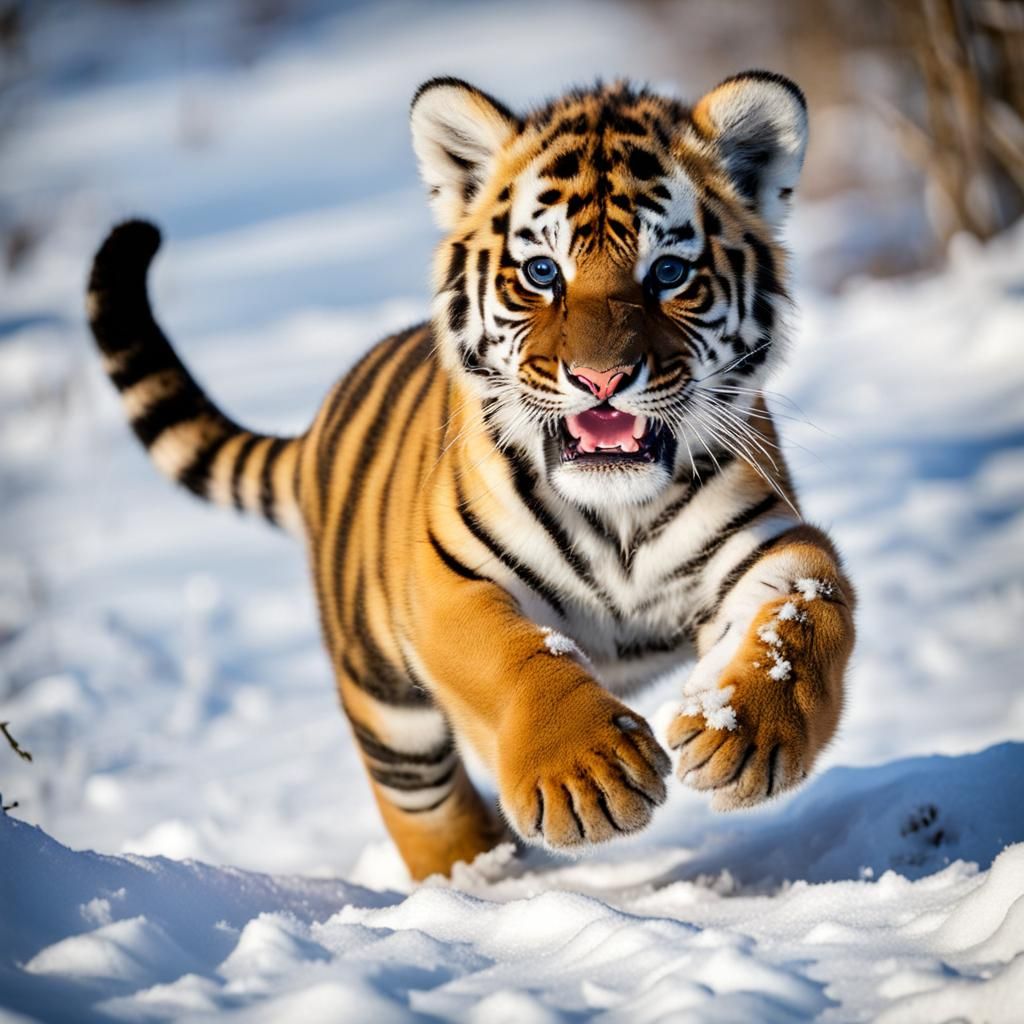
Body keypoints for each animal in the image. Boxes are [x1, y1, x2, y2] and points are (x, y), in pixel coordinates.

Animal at [86, 70, 855, 881]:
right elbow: (514, 654)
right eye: (542, 272)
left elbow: (806, 607)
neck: (616, 514)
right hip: (388, 715)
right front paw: (587, 774)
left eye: (669, 273)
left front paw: (744, 733)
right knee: (425, 813)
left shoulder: (766, 537)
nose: (601, 379)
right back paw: (479, 878)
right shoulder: (446, 581)